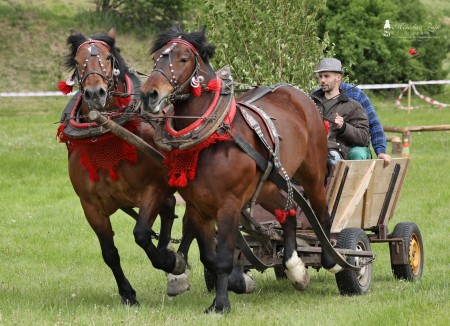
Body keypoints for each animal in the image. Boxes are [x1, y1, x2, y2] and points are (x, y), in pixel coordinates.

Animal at [57, 28, 189, 306]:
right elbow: (109, 252)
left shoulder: (152, 189)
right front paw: (127, 293)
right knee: (170, 208)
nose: (95, 93)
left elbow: (141, 233)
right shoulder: (91, 206)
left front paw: (170, 262)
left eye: (108, 58)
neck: (107, 138)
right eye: (77, 61)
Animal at [141, 26, 338, 312]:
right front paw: (238, 283)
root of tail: (298, 94)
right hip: (269, 184)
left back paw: (331, 258)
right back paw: (295, 268)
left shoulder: (229, 204)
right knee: (289, 210)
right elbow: (209, 257)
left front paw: (221, 304)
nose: (149, 94)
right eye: (156, 57)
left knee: (321, 211)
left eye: (183, 59)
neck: (213, 136)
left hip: (312, 172)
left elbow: (223, 257)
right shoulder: (199, 206)